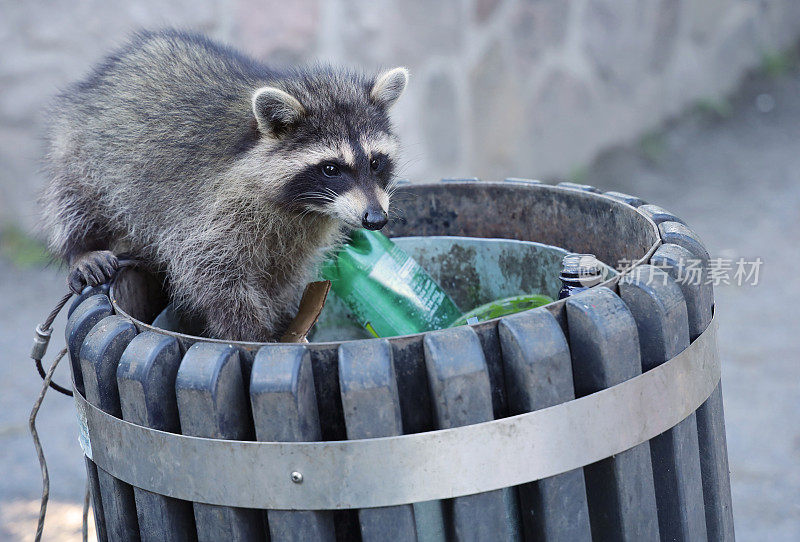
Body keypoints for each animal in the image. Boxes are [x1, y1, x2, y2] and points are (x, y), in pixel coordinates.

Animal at [40, 29, 410, 342]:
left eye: (375, 163)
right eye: (331, 168)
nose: (376, 219)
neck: (303, 206)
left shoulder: (301, 235)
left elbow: (284, 276)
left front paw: (283, 317)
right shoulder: (213, 208)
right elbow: (212, 272)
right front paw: (251, 333)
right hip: (82, 149)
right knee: (76, 199)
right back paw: (81, 247)